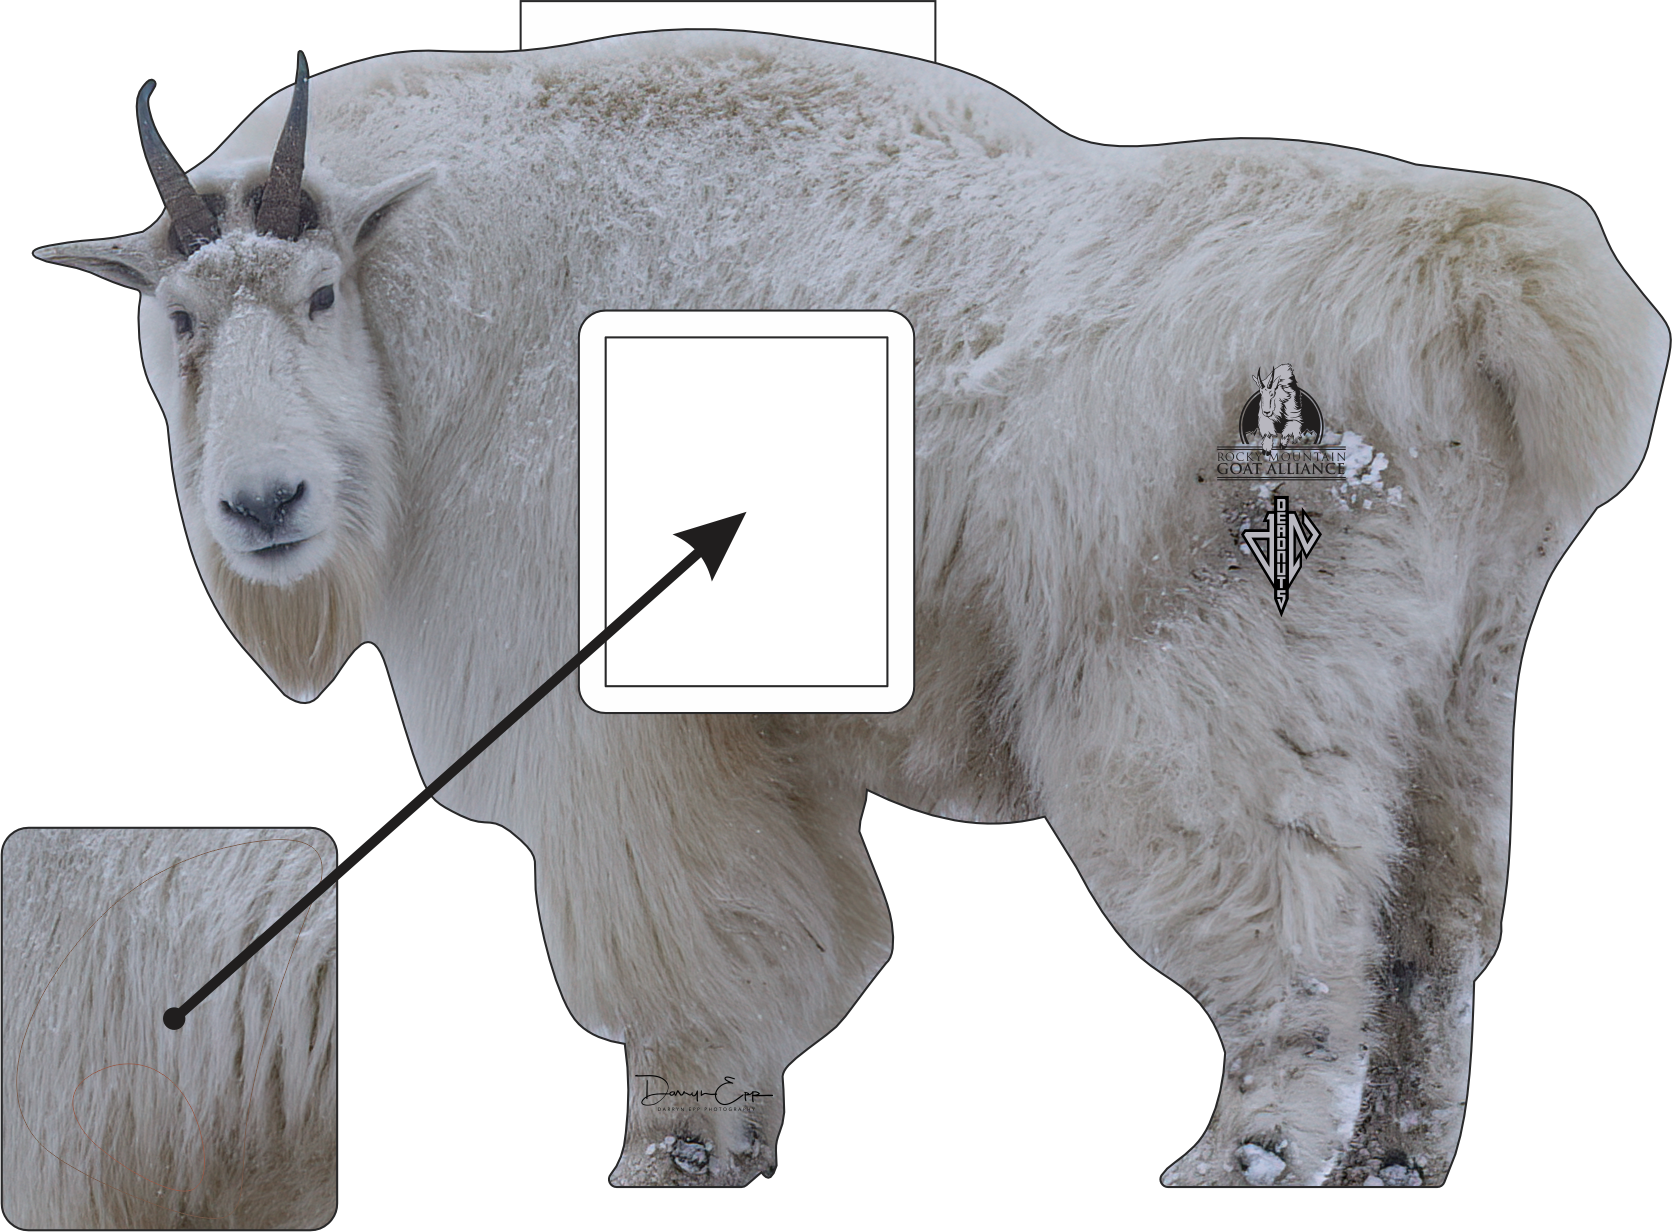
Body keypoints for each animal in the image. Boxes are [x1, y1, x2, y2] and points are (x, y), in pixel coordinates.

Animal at [27, 29, 1664, 1195]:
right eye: (175, 316)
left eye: (315, 296)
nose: (266, 504)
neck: (432, 309)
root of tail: (1473, 288)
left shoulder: (606, 693)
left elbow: (690, 928)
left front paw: (672, 1151)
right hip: (1458, 669)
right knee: (1435, 927)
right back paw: (1398, 1157)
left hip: (1218, 648)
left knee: (1283, 904)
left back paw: (1239, 1158)